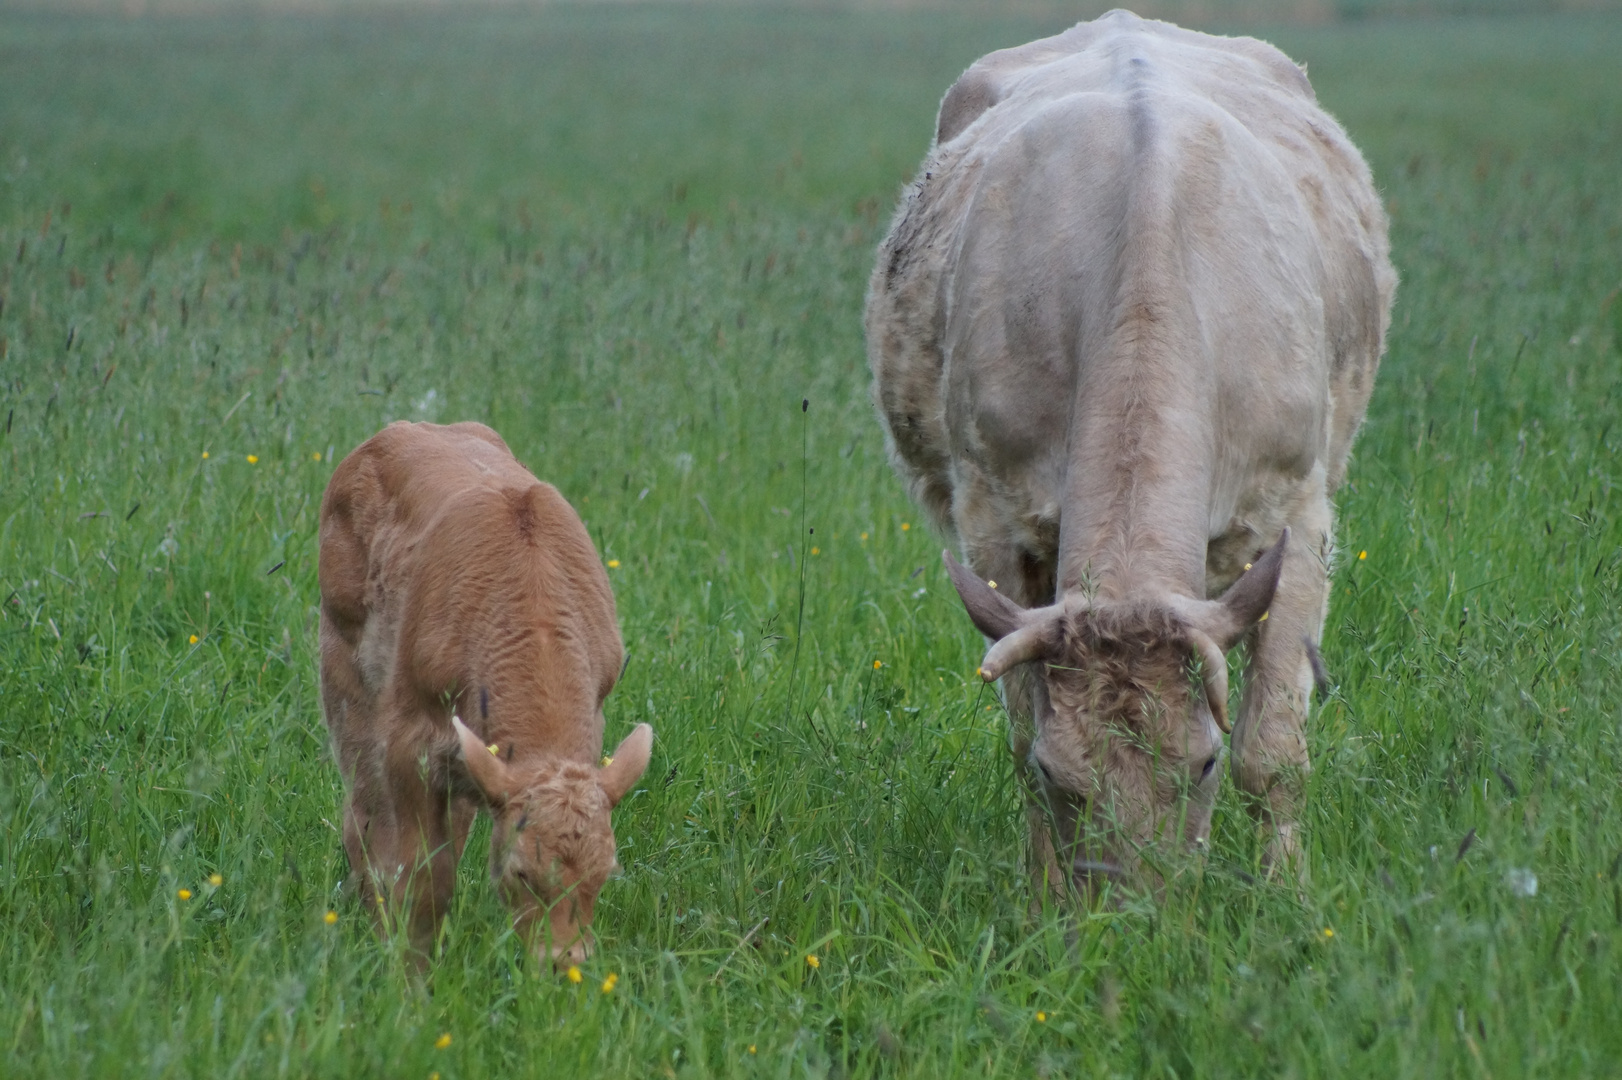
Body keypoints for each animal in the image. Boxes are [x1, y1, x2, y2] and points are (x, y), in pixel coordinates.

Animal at [313, 415, 648, 960]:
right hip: (343, 670)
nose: (562, 964)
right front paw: (410, 969)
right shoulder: (407, 742)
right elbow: (421, 875)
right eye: (522, 873)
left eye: (603, 876)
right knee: (363, 816)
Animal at [869, 10, 1388, 888]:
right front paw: (1045, 900)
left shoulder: (1300, 515)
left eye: (1203, 763)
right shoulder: (992, 520)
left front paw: (1289, 894)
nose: (1136, 914)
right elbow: (1021, 735)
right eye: (1062, 775)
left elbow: (1273, 752)